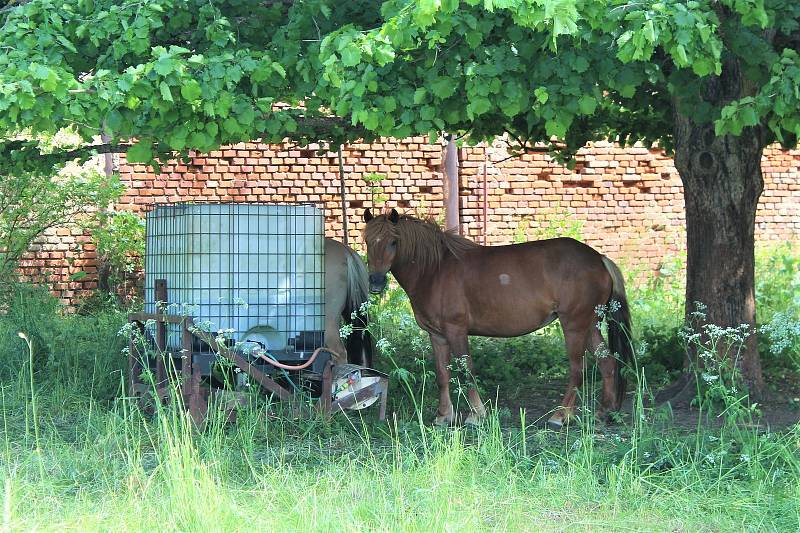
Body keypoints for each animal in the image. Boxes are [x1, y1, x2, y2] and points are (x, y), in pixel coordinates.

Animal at [362, 208, 632, 428]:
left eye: (393, 242)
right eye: (367, 241)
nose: (375, 282)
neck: (434, 270)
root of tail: (599, 259)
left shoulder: (456, 330)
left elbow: (466, 370)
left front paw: (476, 415)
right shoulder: (437, 336)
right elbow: (442, 375)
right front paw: (443, 416)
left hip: (574, 325)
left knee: (578, 369)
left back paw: (560, 416)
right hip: (590, 325)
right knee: (608, 363)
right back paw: (604, 413)